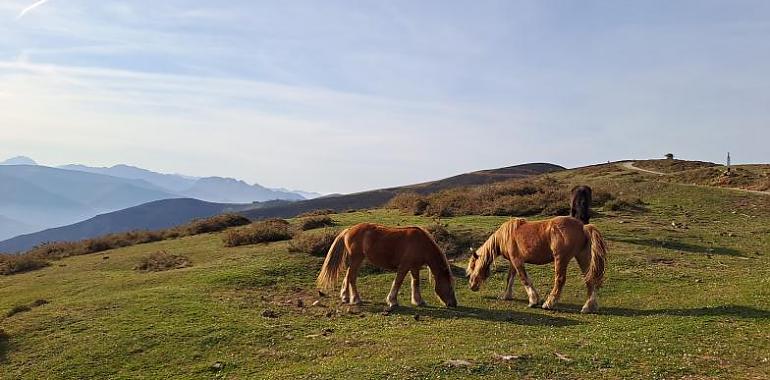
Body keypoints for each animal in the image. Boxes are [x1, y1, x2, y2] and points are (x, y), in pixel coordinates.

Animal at [316, 223, 456, 308]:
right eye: (449, 286)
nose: (453, 304)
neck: (421, 243)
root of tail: (349, 230)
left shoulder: (414, 267)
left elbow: (416, 283)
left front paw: (418, 301)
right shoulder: (404, 266)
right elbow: (398, 282)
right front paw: (392, 301)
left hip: (355, 260)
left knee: (347, 276)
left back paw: (345, 297)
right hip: (356, 259)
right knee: (351, 278)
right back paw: (356, 299)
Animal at [462, 215, 608, 314]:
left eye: (473, 267)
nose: (472, 286)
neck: (505, 236)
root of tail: (583, 227)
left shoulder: (517, 261)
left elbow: (524, 279)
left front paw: (533, 300)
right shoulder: (513, 262)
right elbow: (510, 278)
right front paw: (506, 296)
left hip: (561, 259)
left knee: (560, 280)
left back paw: (549, 303)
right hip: (582, 258)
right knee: (589, 280)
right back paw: (588, 306)